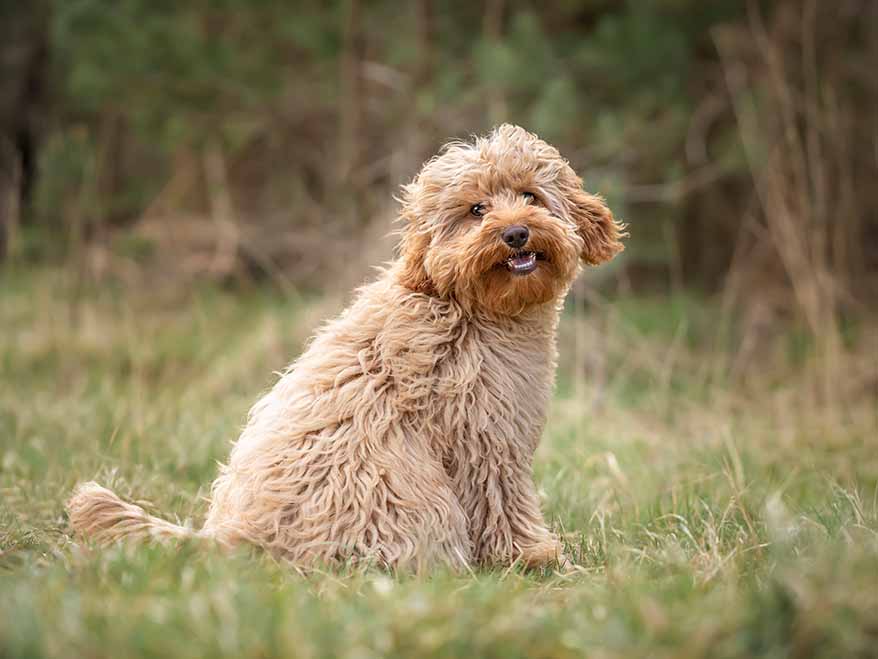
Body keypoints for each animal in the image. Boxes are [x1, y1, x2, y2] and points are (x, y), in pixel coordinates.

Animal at [69, 126, 624, 568]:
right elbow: (504, 504)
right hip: (411, 499)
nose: (515, 233)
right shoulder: (485, 438)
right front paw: (536, 558)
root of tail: (236, 539)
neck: (468, 308)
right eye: (476, 209)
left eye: (531, 196)